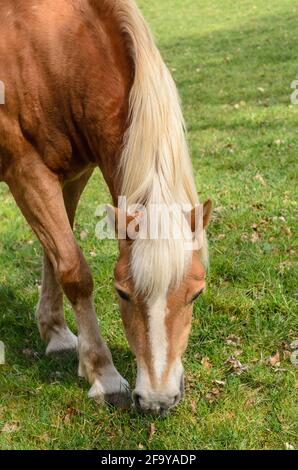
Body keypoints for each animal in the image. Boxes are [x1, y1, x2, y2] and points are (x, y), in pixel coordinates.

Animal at [0, 0, 212, 414]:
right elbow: (74, 270)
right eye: (122, 292)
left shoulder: (72, 174)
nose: (157, 399)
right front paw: (104, 374)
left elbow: (54, 255)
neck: (56, 52)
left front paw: (57, 334)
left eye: (196, 293)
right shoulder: (26, 172)